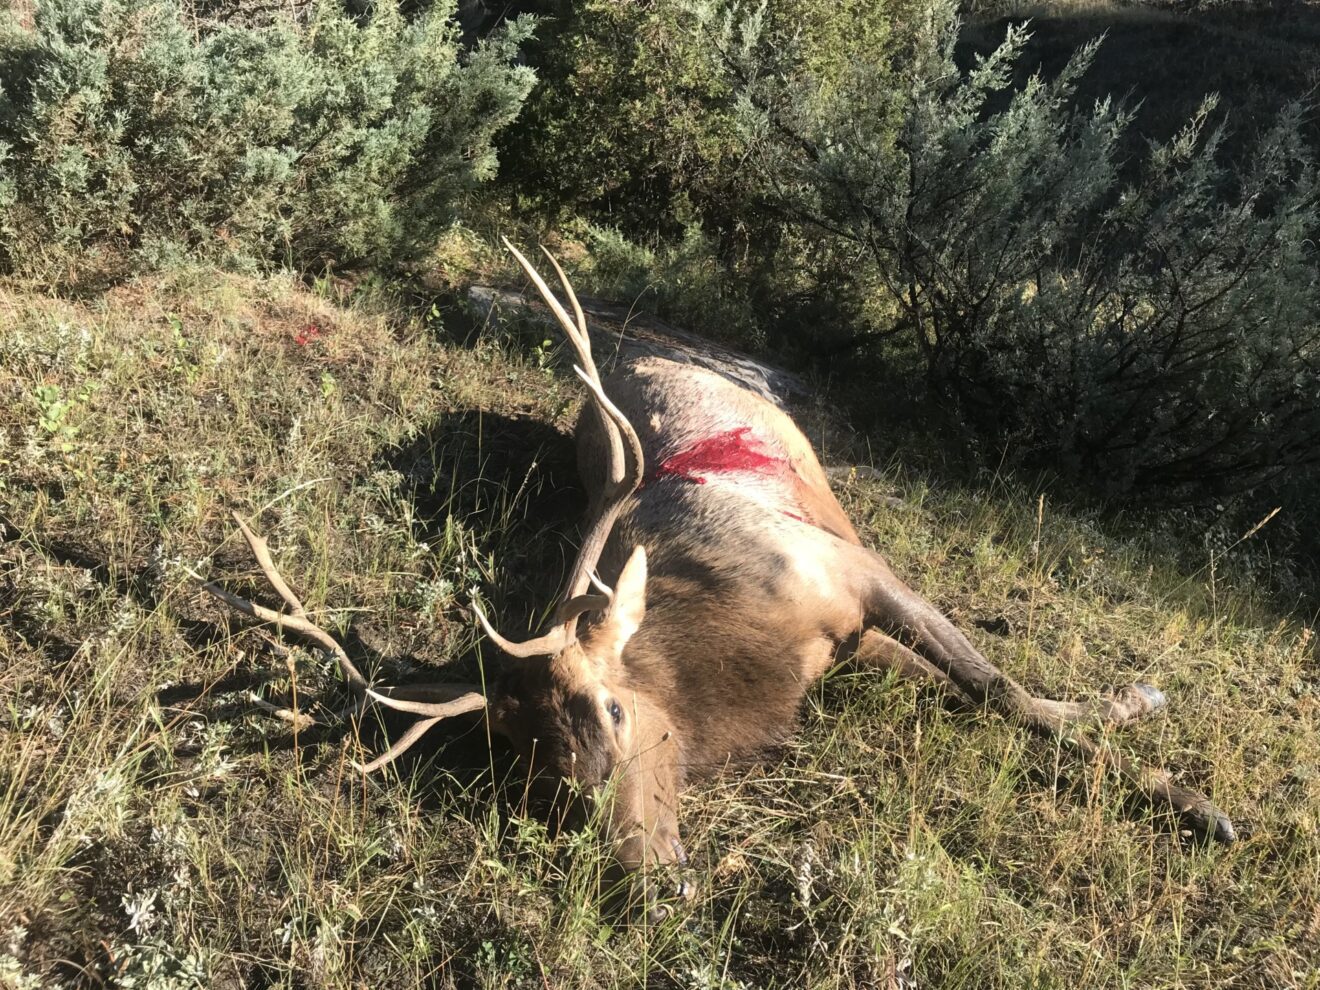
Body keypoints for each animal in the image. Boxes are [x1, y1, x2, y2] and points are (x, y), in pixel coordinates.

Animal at [200, 239, 1234, 908]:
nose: (648, 884)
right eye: (532, 770)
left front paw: (1188, 785)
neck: (753, 646)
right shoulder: (846, 645)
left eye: (613, 711)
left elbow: (1004, 689)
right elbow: (984, 694)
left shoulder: (857, 575)